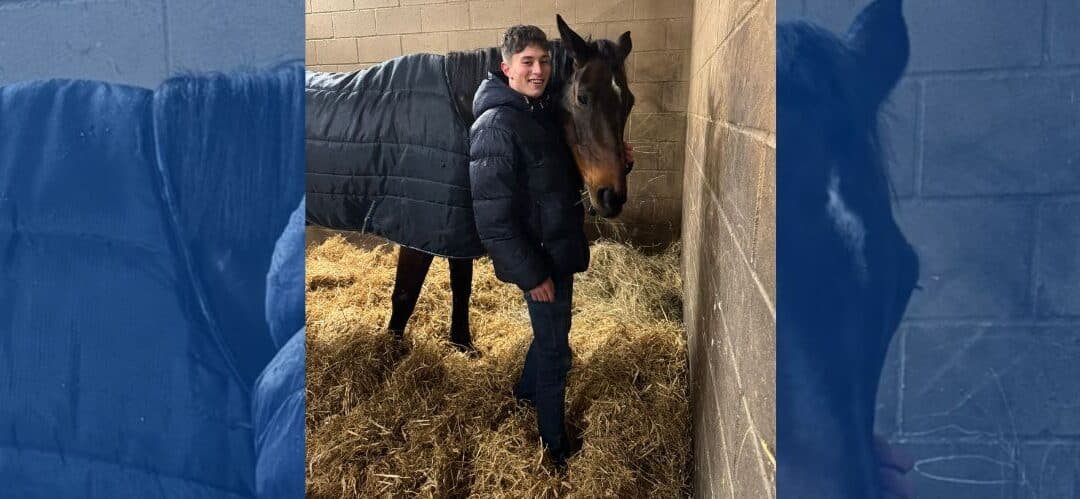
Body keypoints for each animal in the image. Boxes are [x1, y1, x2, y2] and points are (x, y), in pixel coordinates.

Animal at [305, 16, 635, 353]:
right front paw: (391, 354)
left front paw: (462, 343)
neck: (464, 110)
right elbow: (405, 295)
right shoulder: (419, 230)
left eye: (629, 103)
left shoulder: (457, 225)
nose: (611, 196)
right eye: (583, 96)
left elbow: (461, 286)